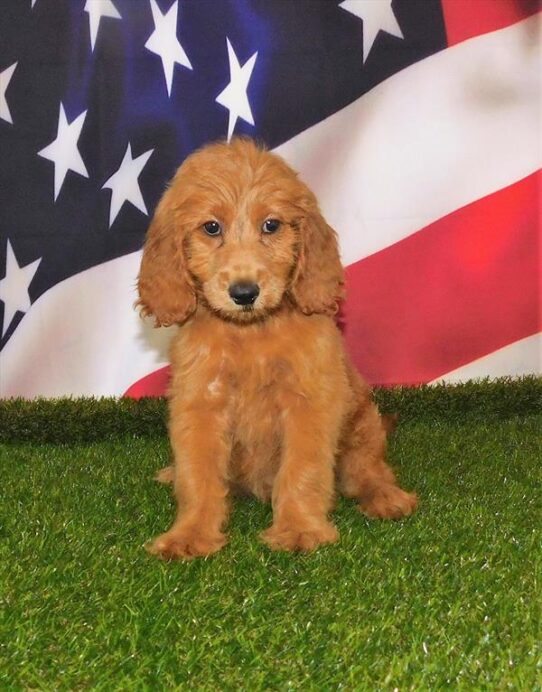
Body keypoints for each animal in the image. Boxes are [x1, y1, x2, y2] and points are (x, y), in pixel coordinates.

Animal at [138, 138, 418, 560]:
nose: (244, 293)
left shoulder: (308, 403)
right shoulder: (199, 402)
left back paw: (387, 497)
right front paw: (189, 533)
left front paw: (300, 529)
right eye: (211, 227)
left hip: (362, 427)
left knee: (368, 471)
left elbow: (302, 470)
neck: (251, 334)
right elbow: (198, 475)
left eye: (271, 225)